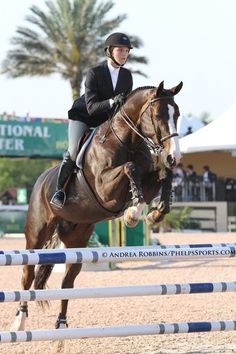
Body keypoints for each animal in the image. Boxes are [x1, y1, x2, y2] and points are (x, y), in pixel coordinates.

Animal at [12, 81, 183, 330]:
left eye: (177, 114)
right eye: (158, 114)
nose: (174, 156)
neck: (128, 141)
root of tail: (40, 180)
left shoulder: (149, 178)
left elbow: (163, 174)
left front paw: (154, 213)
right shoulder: (105, 189)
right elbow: (130, 167)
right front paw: (133, 214)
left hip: (76, 240)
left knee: (67, 282)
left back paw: (61, 325)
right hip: (36, 235)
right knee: (27, 273)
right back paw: (20, 322)